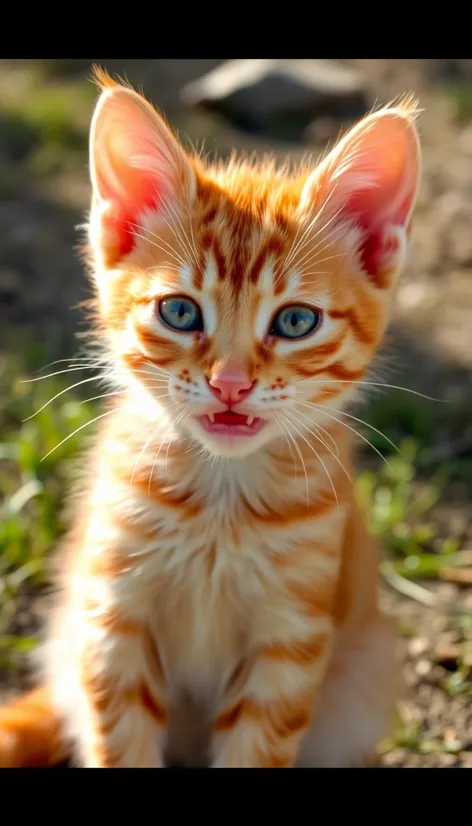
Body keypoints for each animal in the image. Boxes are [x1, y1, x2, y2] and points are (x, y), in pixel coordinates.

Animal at [0, 71, 422, 768]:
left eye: (296, 321)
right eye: (179, 312)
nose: (230, 384)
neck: (221, 506)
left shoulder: (290, 640)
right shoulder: (113, 618)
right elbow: (121, 745)